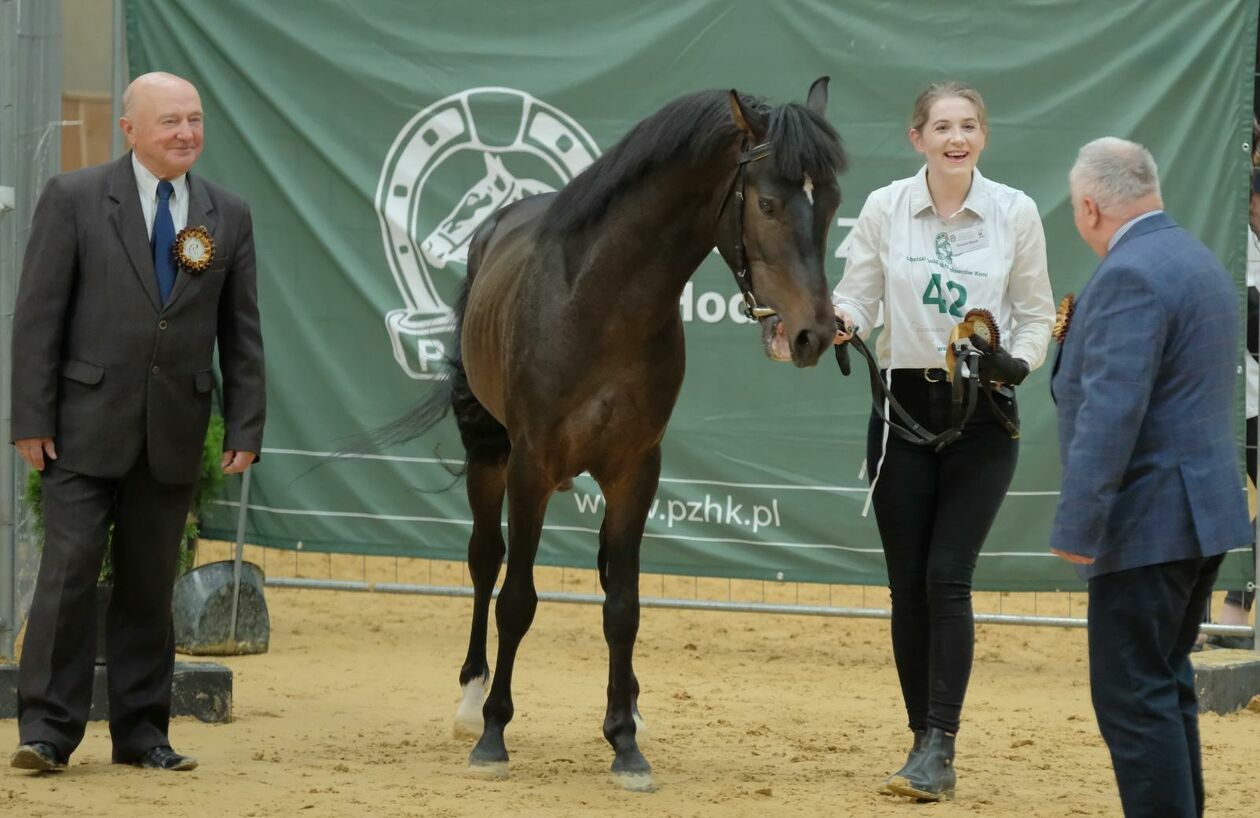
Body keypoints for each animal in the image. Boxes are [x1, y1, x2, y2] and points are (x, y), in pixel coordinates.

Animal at [393, 79, 846, 786]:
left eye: (830, 205)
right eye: (768, 204)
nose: (814, 335)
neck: (600, 304)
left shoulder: (637, 470)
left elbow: (624, 606)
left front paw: (625, 741)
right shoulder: (530, 467)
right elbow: (516, 598)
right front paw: (493, 735)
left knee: (607, 575)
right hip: (491, 456)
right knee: (484, 561)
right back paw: (470, 700)